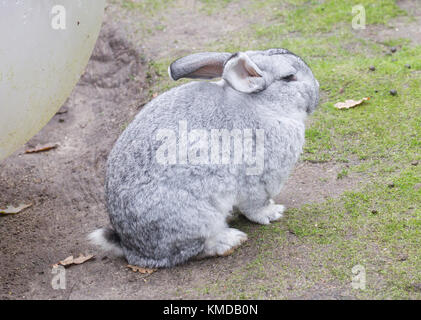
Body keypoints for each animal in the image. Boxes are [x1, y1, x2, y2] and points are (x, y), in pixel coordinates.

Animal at [88, 48, 318, 268]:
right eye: (289, 77)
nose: (316, 94)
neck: (262, 106)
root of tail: (130, 247)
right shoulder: (257, 181)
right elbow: (255, 206)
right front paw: (273, 212)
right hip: (194, 217)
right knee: (193, 250)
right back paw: (229, 240)